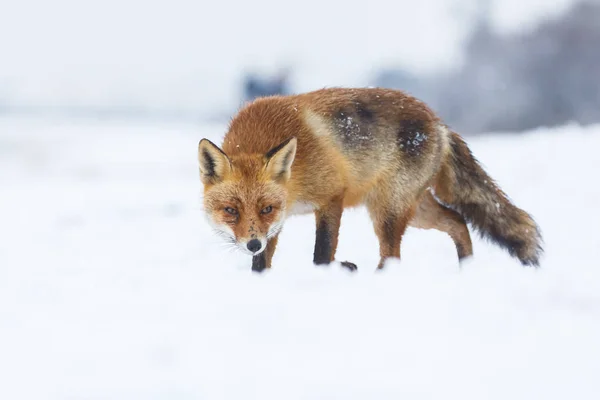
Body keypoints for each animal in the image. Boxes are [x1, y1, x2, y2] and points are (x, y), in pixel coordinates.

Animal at [198, 87, 544, 272]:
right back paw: (466, 271)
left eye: (266, 208)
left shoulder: (331, 197)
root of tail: (439, 123)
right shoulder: (277, 224)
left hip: (388, 211)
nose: (252, 244)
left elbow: (321, 255)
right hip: (415, 211)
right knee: (458, 221)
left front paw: (338, 269)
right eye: (231, 211)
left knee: (392, 257)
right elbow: (261, 265)